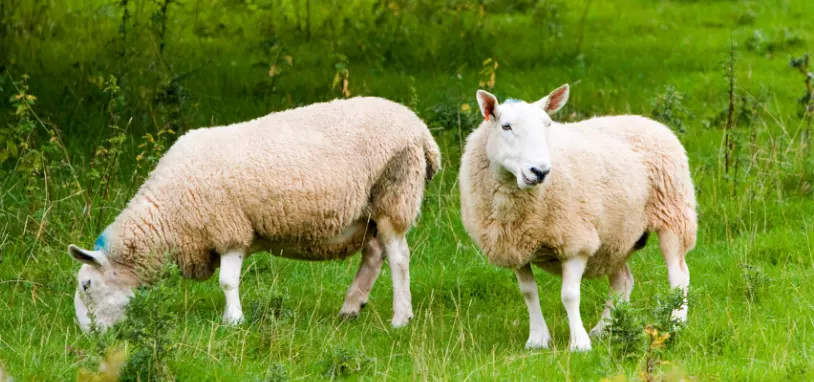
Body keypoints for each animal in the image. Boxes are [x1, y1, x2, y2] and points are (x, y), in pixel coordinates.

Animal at [67, 95, 444, 332]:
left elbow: (227, 281)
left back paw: (401, 318)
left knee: (399, 257)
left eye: (87, 285)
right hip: (370, 212)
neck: (167, 216)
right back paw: (351, 308)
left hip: (394, 192)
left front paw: (233, 321)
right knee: (375, 254)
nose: (88, 334)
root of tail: (422, 132)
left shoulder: (229, 228)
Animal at [462, 85, 700, 350]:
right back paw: (604, 328)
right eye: (506, 126)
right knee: (623, 281)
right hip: (616, 236)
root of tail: (646, 120)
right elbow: (529, 293)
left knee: (679, 275)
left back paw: (675, 323)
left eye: (548, 124)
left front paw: (579, 343)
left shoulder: (575, 241)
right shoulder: (515, 247)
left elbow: (569, 295)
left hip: (674, 215)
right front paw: (537, 339)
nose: (540, 171)